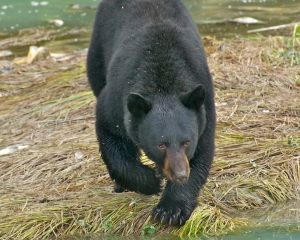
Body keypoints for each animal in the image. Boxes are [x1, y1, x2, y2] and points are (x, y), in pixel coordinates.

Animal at [86, 0, 216, 225]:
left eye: (186, 142)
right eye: (160, 144)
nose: (180, 174)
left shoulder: (203, 106)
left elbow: (202, 151)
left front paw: (171, 209)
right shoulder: (116, 98)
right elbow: (110, 134)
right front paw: (149, 182)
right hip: (97, 52)